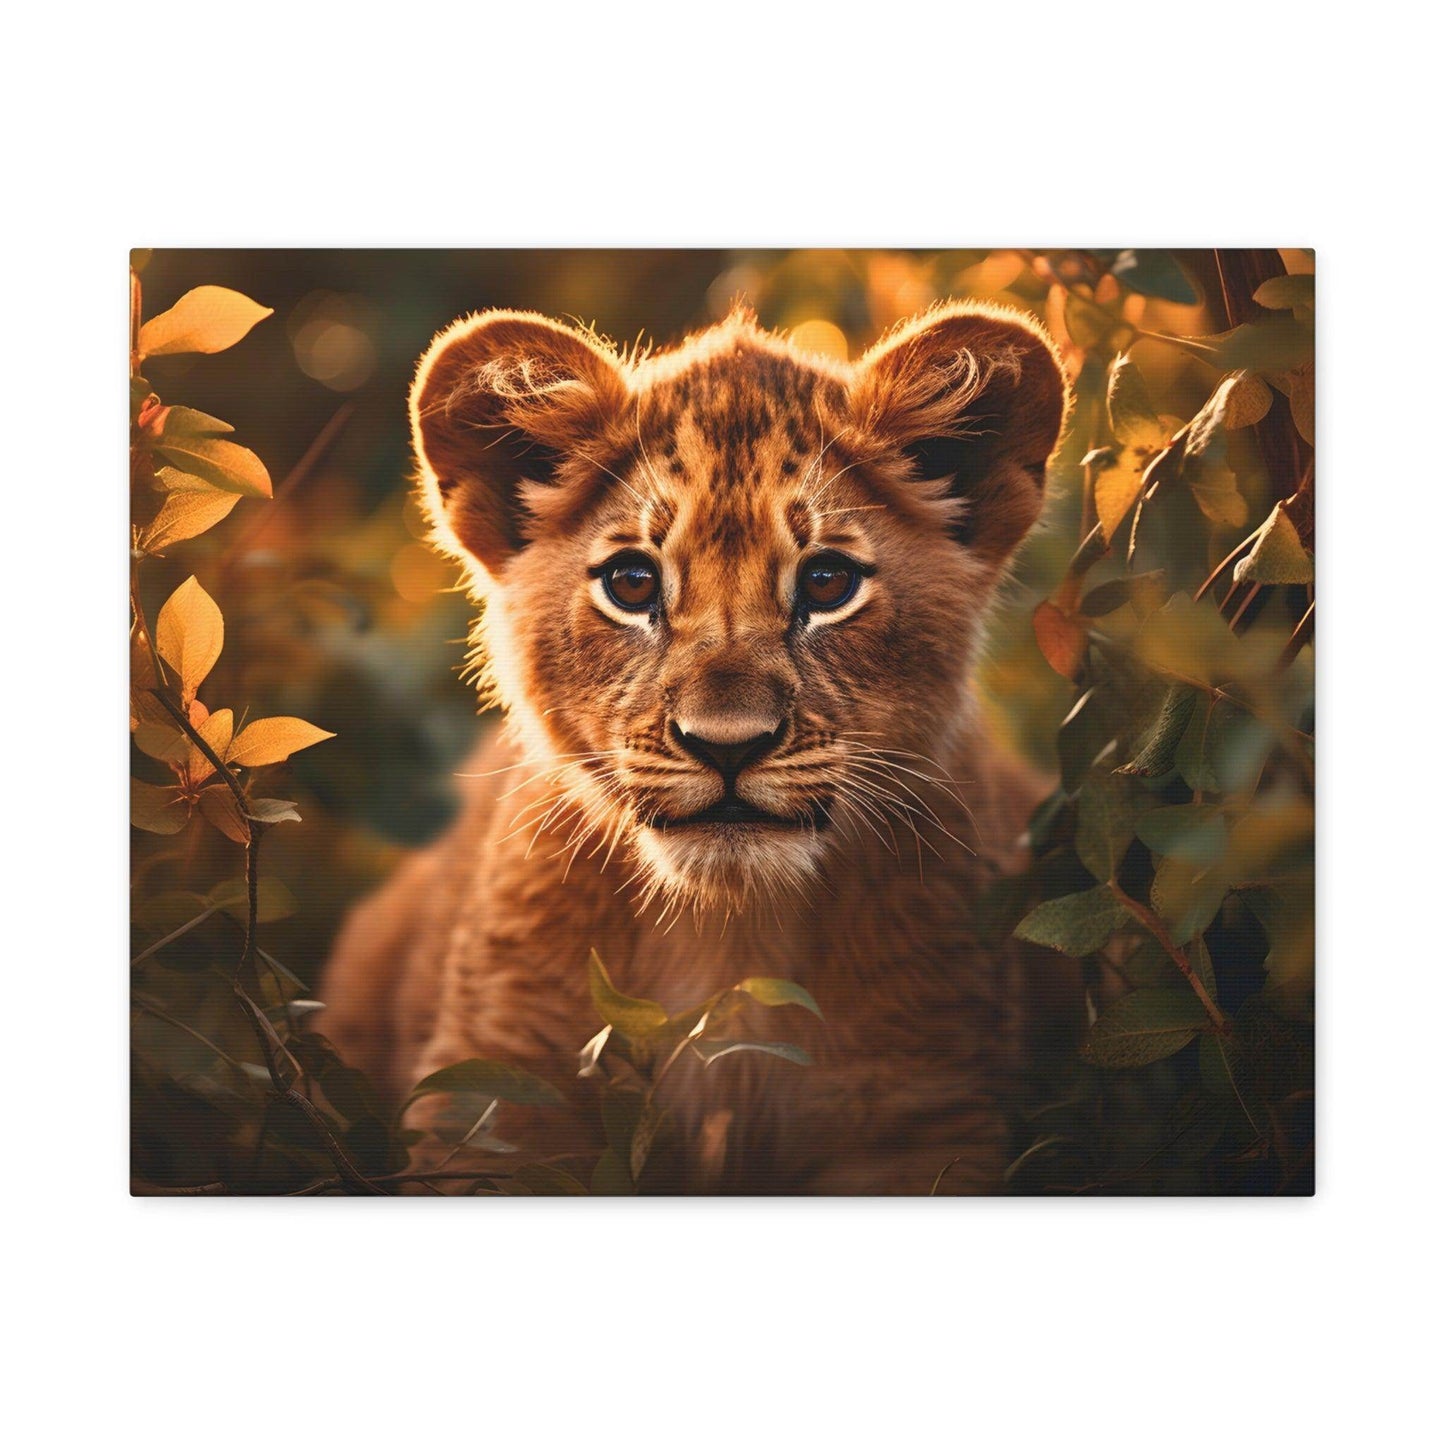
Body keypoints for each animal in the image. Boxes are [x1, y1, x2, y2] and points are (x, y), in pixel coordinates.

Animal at [319, 299, 1078, 1193]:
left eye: (826, 583)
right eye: (631, 583)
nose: (727, 746)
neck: (729, 937)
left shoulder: (921, 1111)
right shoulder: (495, 1097)